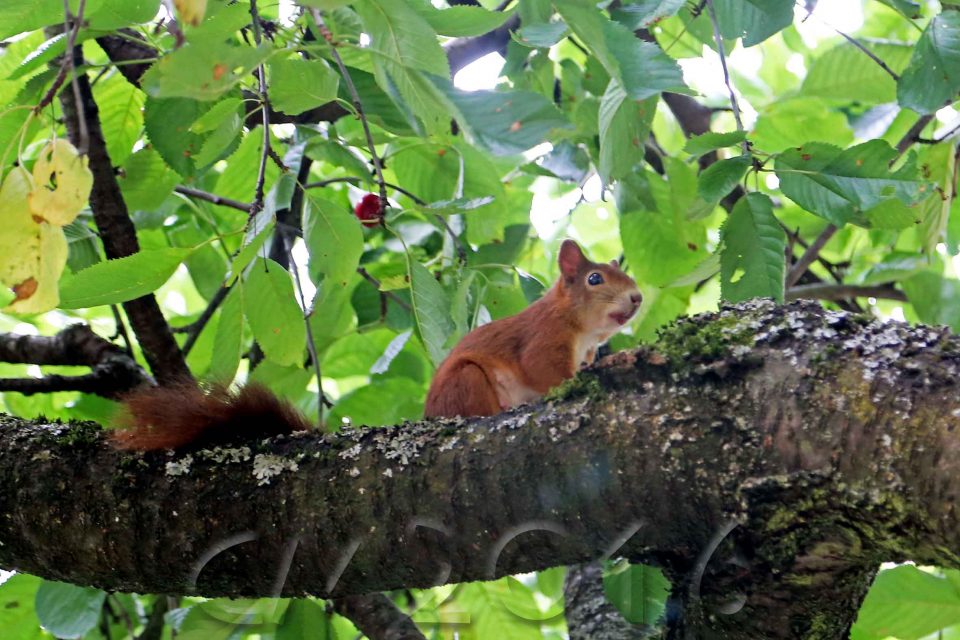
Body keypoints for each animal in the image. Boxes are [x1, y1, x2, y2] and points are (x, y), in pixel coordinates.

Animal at [109, 240, 640, 450]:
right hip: (469, 381)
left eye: (629, 278)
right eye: (595, 279)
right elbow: (545, 372)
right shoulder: (542, 340)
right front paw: (574, 382)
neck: (578, 328)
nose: (637, 298)